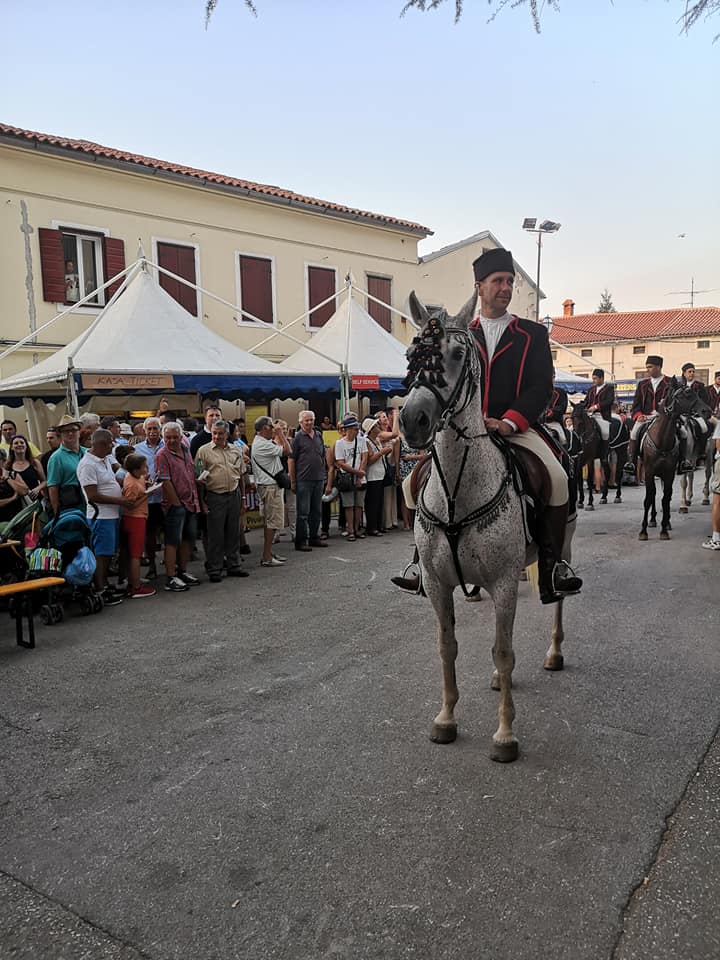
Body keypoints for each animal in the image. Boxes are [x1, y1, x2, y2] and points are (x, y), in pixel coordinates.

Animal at [399, 293, 576, 763]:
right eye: (411, 354)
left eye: (458, 355)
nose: (411, 421)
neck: (459, 489)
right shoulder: (439, 584)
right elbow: (449, 647)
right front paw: (446, 719)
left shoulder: (502, 582)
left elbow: (504, 649)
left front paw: (505, 735)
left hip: (563, 546)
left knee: (557, 601)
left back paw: (554, 652)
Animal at [637, 385, 712, 540]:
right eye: (687, 394)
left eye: (697, 393)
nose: (706, 411)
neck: (662, 440)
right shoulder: (649, 472)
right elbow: (649, 498)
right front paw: (644, 530)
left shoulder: (670, 471)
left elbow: (667, 497)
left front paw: (665, 528)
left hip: (706, 455)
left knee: (705, 475)